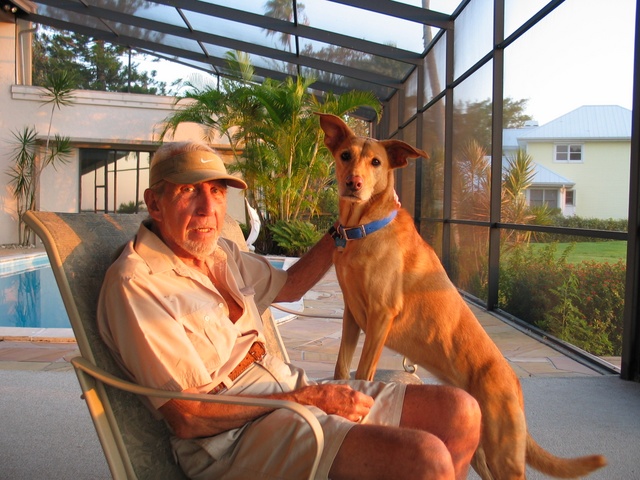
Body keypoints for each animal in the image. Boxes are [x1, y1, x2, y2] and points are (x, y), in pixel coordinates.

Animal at [318, 113, 608, 480]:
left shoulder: (381, 316)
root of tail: (515, 384)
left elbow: (362, 372)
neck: (364, 229)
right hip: (480, 453)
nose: (353, 183)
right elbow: (342, 365)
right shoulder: (352, 316)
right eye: (345, 155)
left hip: (505, 455)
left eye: (376, 162)